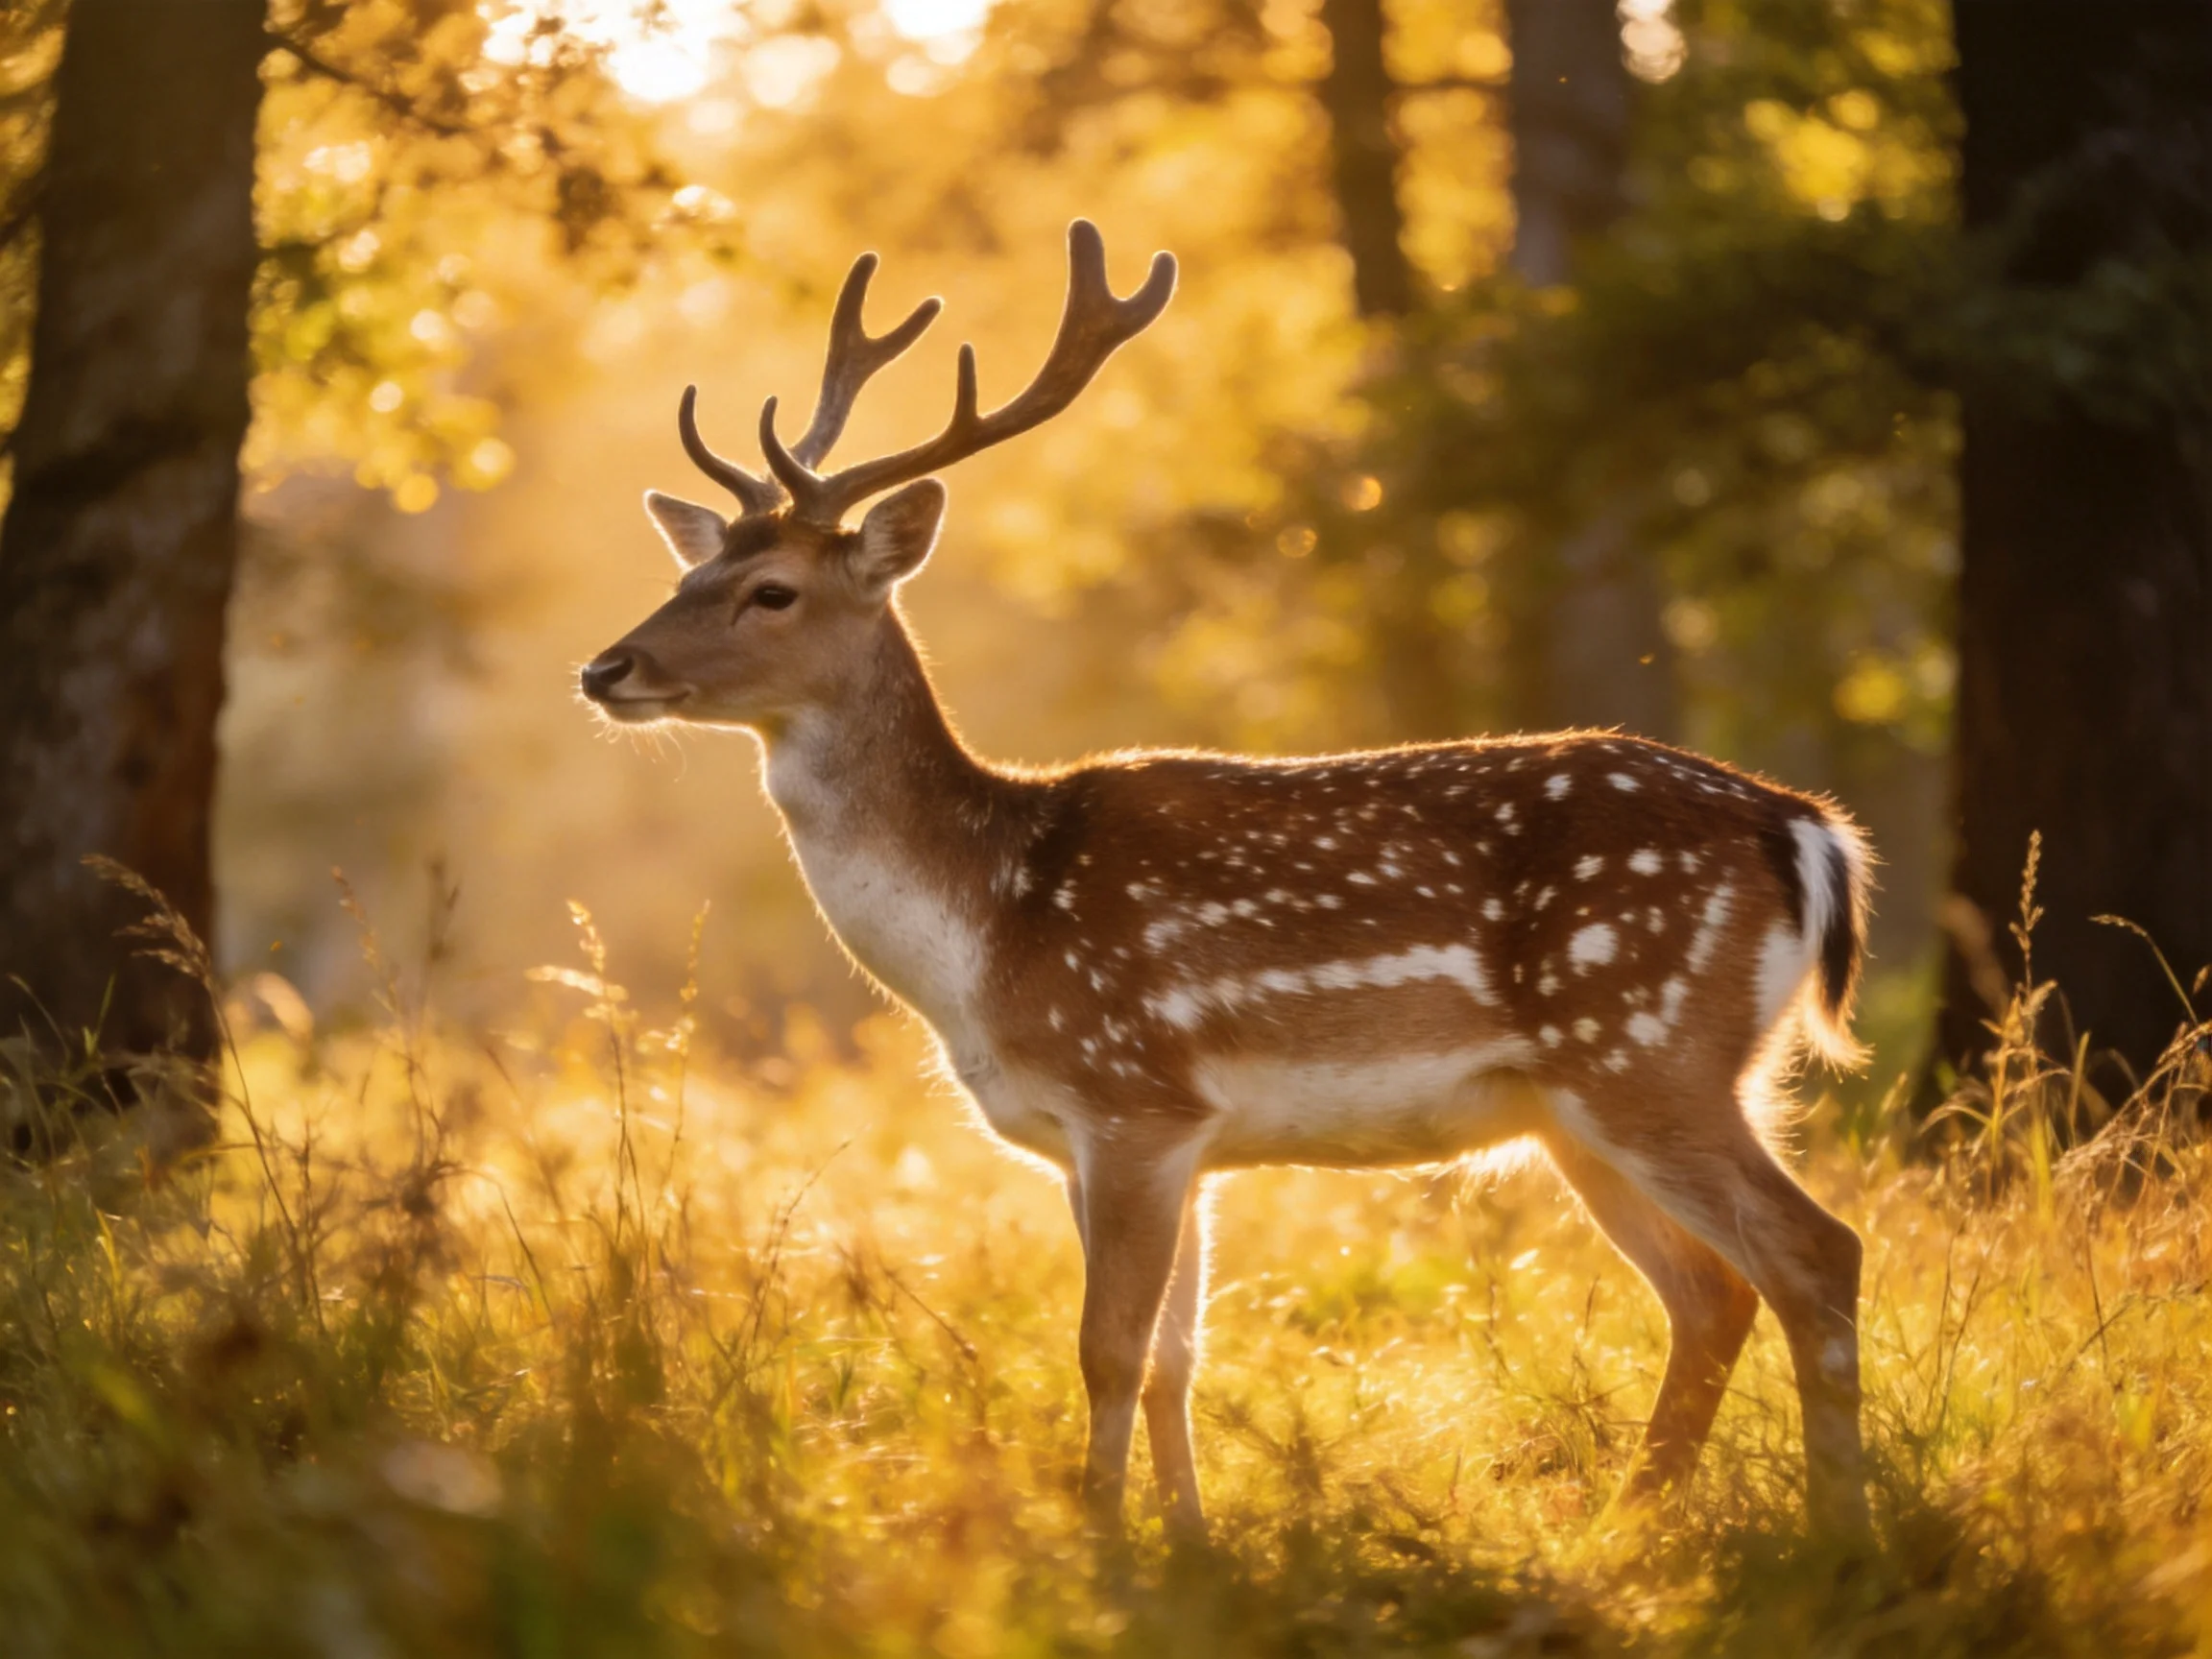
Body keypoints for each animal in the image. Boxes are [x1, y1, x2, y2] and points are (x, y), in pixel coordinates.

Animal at [578, 221, 1877, 1539]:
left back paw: (1834, 1529)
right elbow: (1173, 1358)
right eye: (686, 577)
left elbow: (1105, 1350)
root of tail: (1808, 831)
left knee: (1814, 1255)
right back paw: (1626, 1531)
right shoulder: (1152, 1141)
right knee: (1713, 1290)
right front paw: (1189, 1543)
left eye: (771, 591)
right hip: (1583, 1105)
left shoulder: (1132, 1098)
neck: (984, 932)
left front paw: (1100, 1544)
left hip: (1647, 1045)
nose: (605, 667)